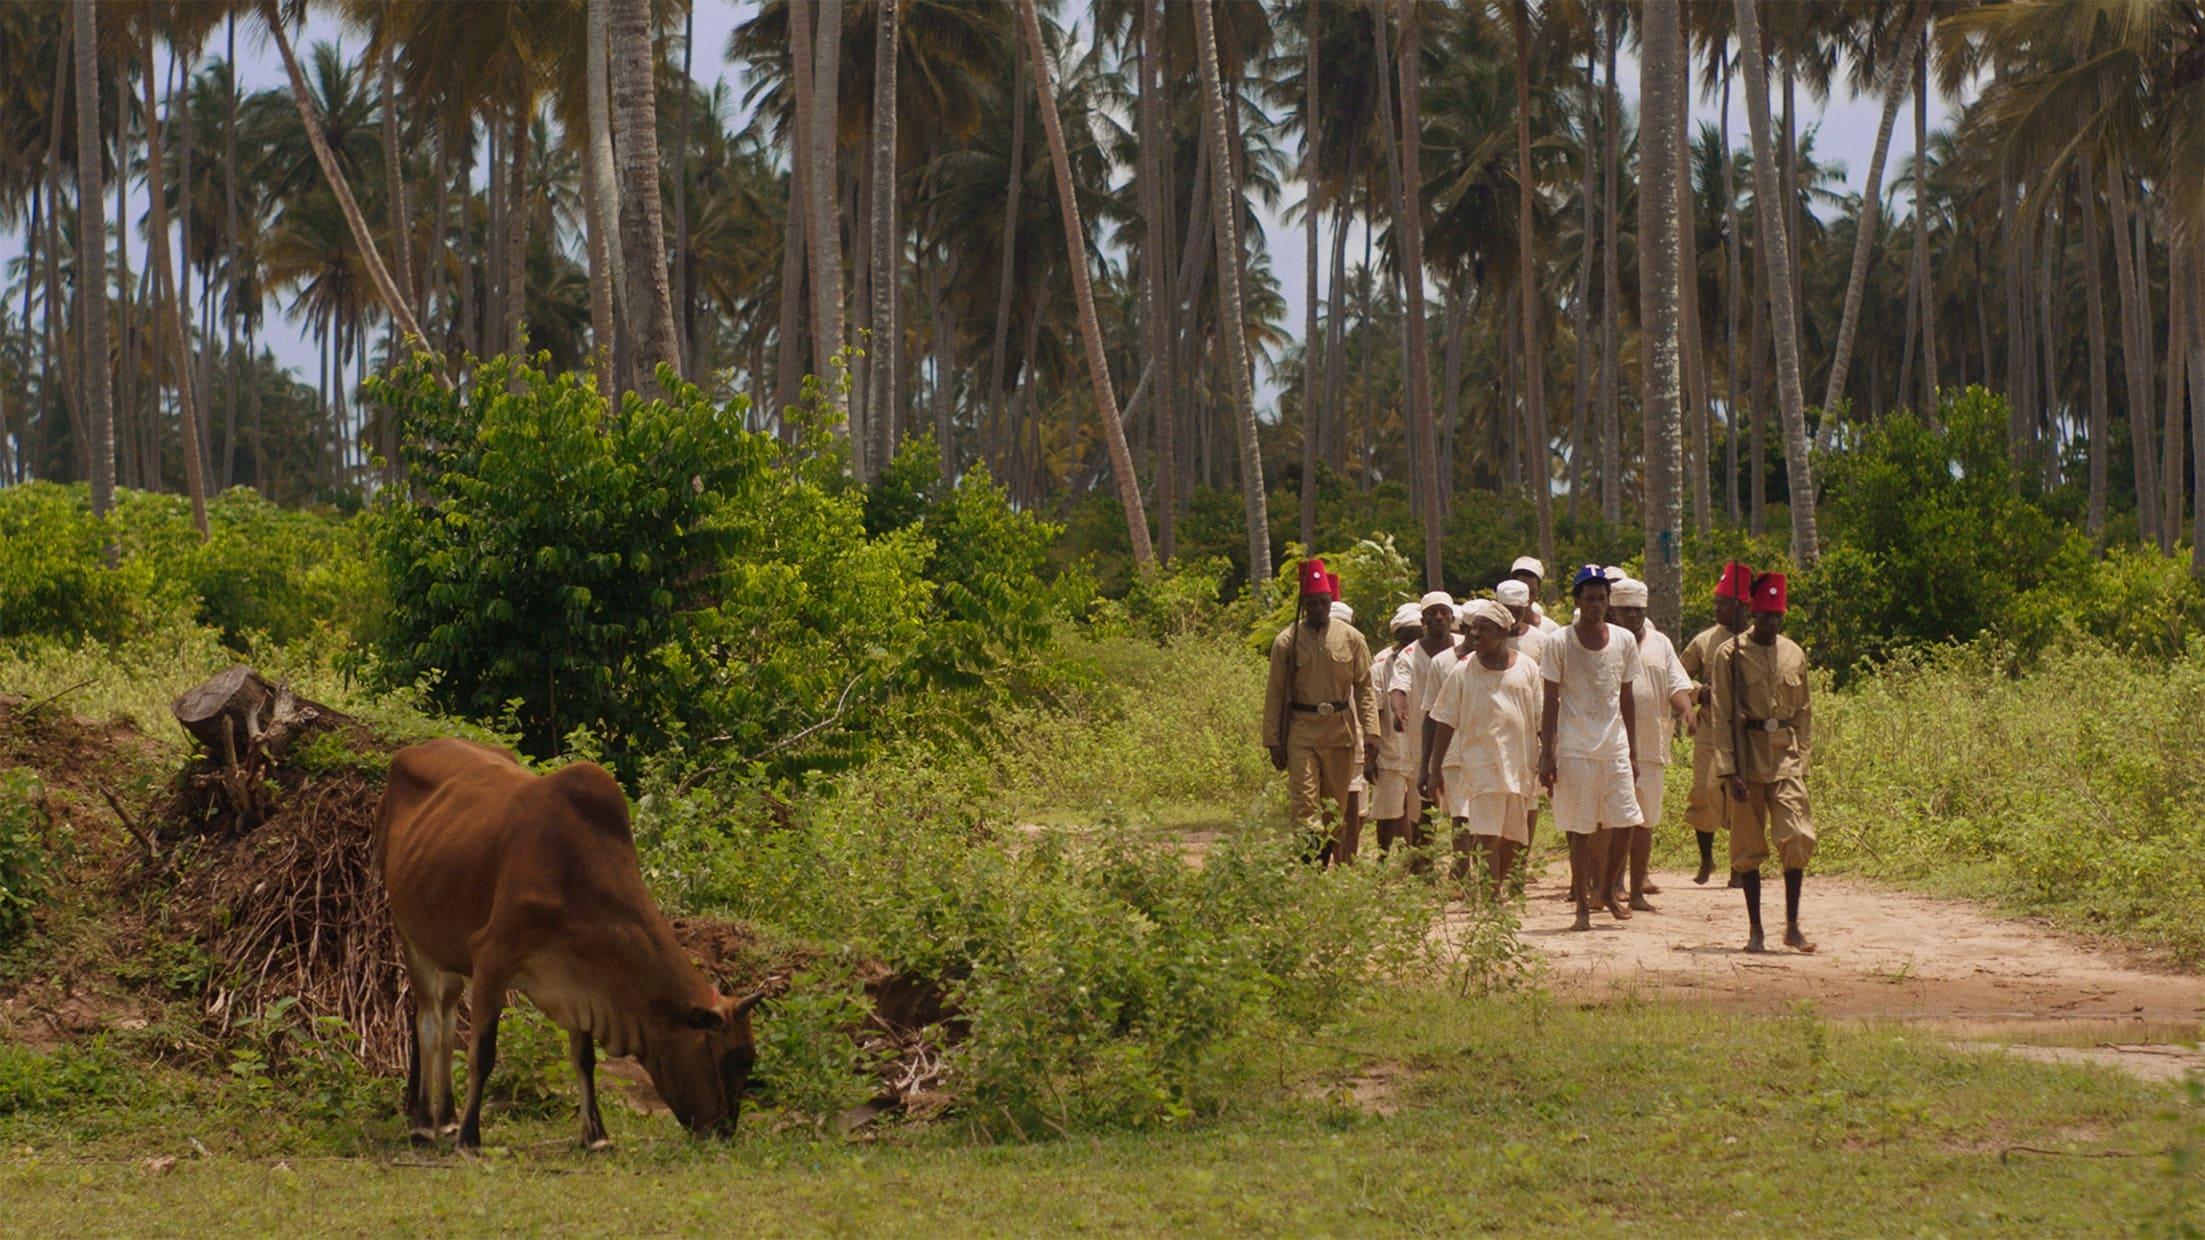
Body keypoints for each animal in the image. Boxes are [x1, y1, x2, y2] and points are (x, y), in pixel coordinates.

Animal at [374, 732, 762, 1147]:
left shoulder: (582, 981)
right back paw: (422, 1124)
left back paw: (445, 1118)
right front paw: (469, 1137)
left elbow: (585, 1059)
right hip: (409, 933)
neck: (574, 871)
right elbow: (482, 1053)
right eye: (734, 1058)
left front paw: (596, 1136)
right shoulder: (491, 956)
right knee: (429, 1022)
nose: (724, 1131)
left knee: (446, 1019)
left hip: (448, 944)